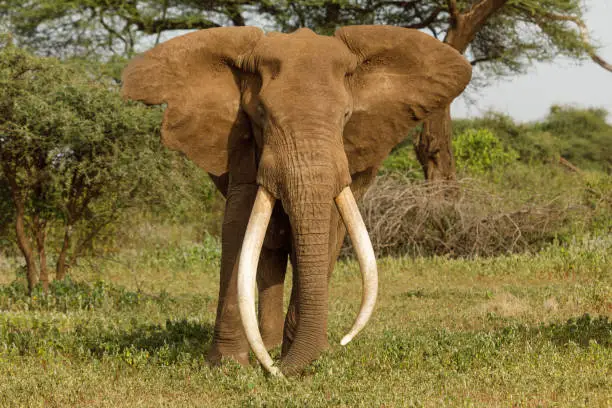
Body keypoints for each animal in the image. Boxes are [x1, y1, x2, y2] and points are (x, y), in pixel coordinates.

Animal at [122, 25, 470, 376]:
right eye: (261, 115)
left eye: (346, 115)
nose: (278, 371)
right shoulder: (239, 142)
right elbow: (239, 223)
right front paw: (227, 366)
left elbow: (328, 226)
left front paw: (299, 359)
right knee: (270, 247)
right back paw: (270, 345)